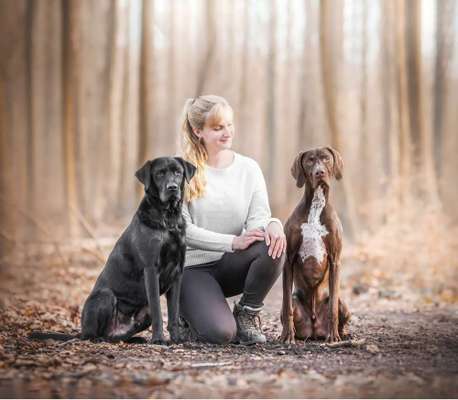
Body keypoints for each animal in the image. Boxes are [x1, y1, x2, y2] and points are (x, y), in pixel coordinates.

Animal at [30, 156, 195, 344]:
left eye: (178, 172)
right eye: (159, 173)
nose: (172, 187)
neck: (168, 220)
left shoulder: (177, 272)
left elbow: (174, 312)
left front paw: (177, 339)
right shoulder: (151, 269)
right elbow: (158, 312)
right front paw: (159, 339)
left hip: (142, 314)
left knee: (115, 336)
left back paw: (135, 339)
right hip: (105, 297)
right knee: (94, 334)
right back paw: (99, 339)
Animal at [280, 147, 350, 344]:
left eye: (326, 159)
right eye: (310, 160)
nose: (320, 172)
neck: (316, 206)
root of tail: (313, 328)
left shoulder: (335, 261)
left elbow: (333, 309)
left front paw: (333, 336)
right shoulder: (288, 261)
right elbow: (287, 307)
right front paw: (287, 336)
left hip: (343, 302)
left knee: (337, 307)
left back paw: (341, 333)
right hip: (296, 301)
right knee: (288, 306)